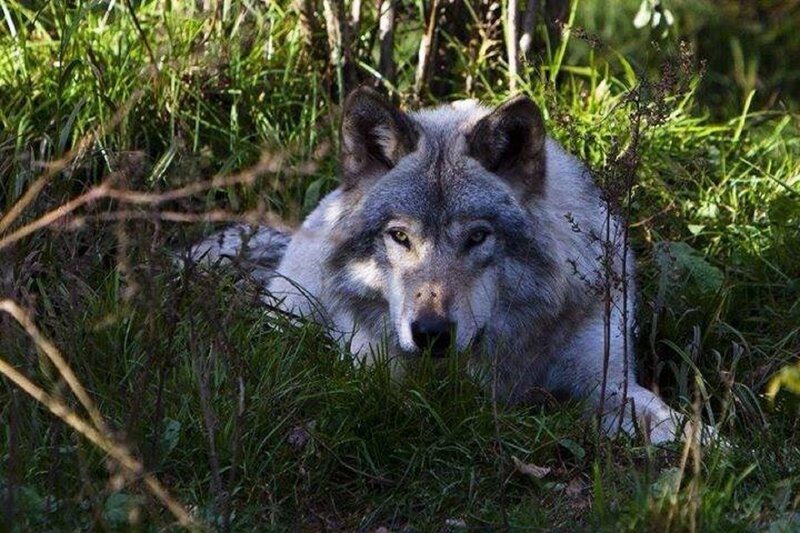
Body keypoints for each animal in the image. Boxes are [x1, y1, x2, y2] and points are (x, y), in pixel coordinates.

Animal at [188, 87, 686, 444]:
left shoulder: (606, 379)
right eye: (400, 236)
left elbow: (669, 420)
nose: (430, 333)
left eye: (477, 237)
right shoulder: (380, 375)